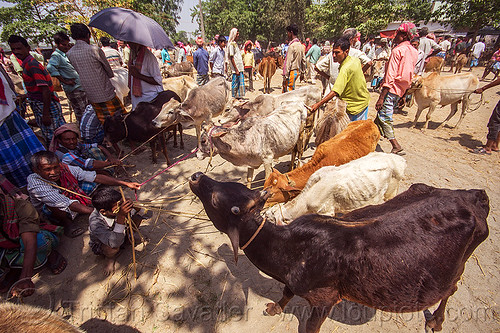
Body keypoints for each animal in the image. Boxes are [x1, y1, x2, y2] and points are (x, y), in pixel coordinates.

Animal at [189, 174, 490, 332]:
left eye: (214, 199)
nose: (196, 176)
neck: (288, 247)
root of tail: (475, 196)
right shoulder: (294, 280)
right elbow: (286, 291)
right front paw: (275, 307)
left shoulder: (325, 299)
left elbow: (309, 326)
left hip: (455, 269)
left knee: (451, 290)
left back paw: (436, 321)